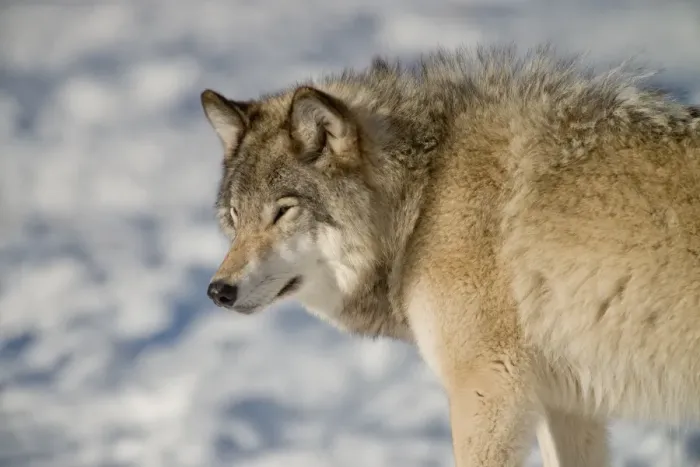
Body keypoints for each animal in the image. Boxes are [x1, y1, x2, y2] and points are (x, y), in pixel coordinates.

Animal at [199, 45, 700, 466]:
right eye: (235, 216)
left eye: (283, 211)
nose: (218, 291)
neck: (422, 198)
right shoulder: (567, 405)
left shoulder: (489, 389)